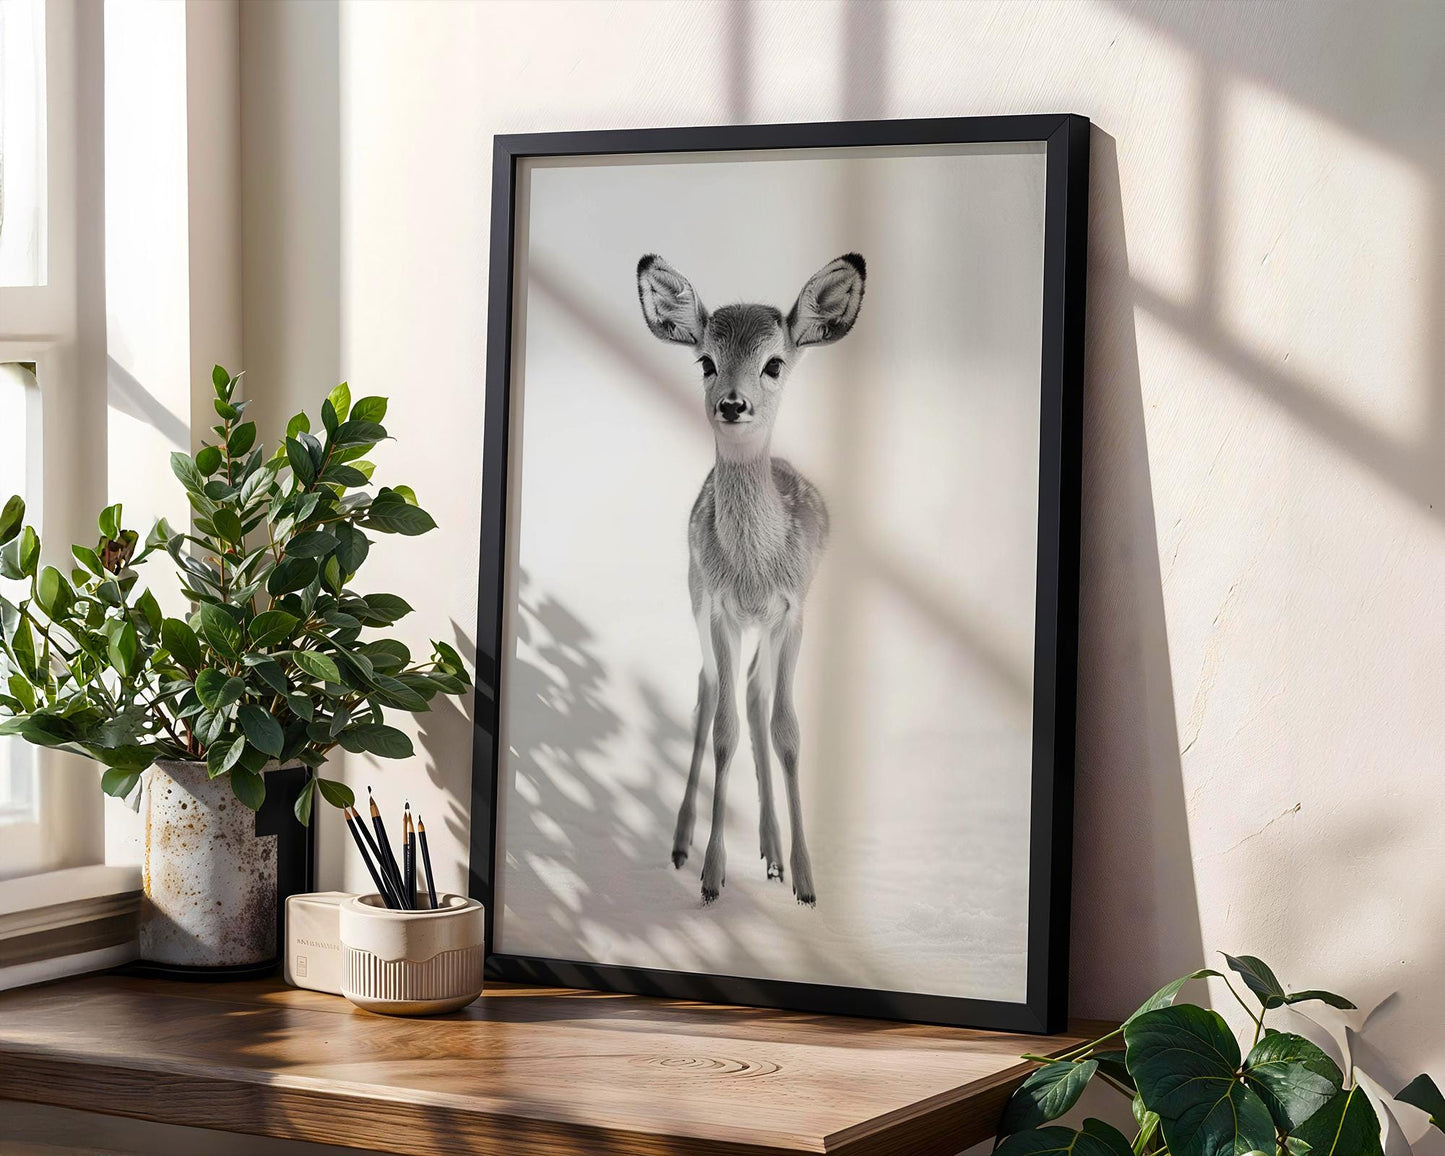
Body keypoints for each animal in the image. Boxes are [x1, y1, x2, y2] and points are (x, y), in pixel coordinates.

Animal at [636, 252, 866, 906]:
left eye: (774, 362)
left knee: (757, 691)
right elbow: (723, 728)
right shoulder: (718, 608)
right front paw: (712, 876)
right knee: (711, 688)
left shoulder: (793, 610)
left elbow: (787, 728)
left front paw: (807, 881)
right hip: (698, 603)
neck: (754, 568)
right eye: (706, 360)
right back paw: (683, 844)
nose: (732, 404)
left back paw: (771, 852)